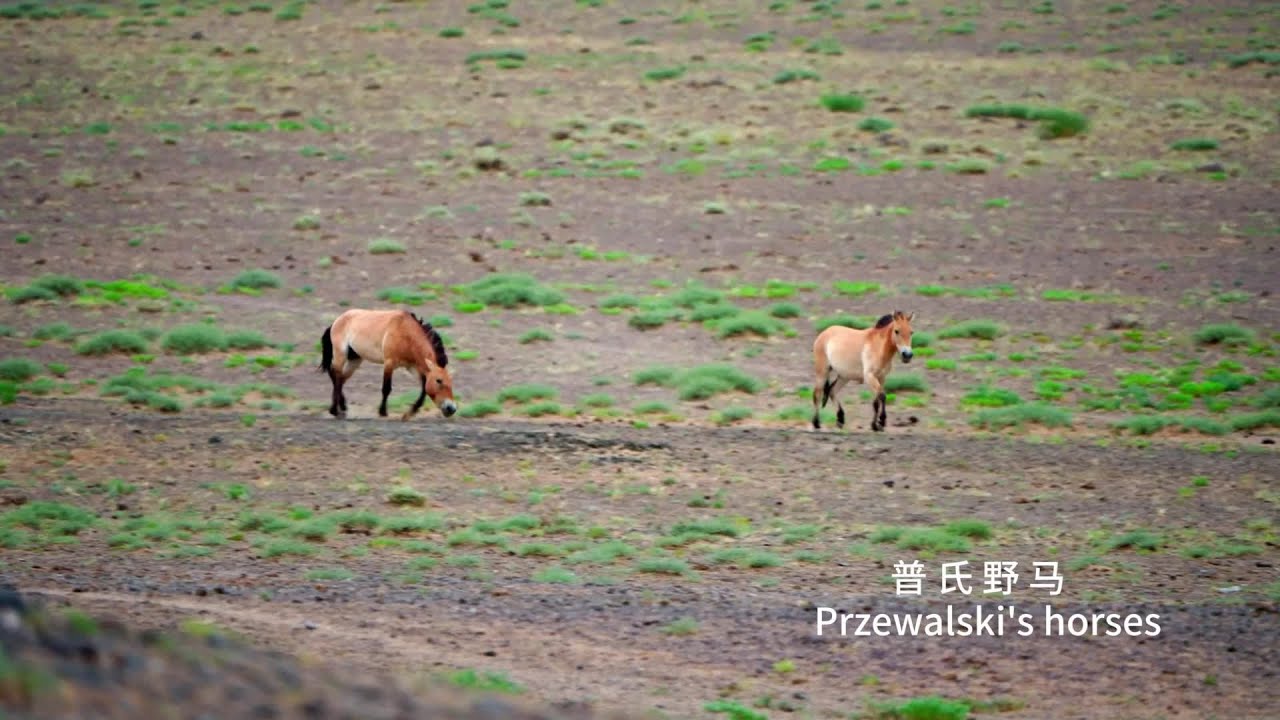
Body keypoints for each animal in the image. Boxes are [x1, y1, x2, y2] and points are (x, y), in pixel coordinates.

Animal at [319, 309, 457, 421]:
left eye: (451, 381)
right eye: (439, 380)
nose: (451, 408)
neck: (406, 332)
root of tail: (336, 322)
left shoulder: (412, 367)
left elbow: (423, 389)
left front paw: (409, 413)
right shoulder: (389, 363)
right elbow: (386, 388)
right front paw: (383, 412)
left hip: (355, 359)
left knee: (340, 378)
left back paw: (342, 408)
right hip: (340, 355)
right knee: (335, 375)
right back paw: (335, 411)